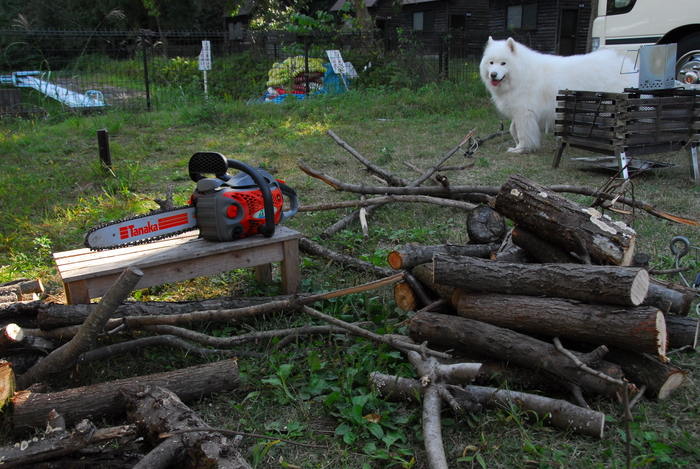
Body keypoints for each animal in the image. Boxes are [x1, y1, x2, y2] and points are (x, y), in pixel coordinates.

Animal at [478, 37, 636, 154]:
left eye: (503, 63)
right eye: (491, 63)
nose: (493, 74)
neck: (521, 73)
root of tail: (627, 64)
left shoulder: (524, 112)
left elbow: (523, 133)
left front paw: (521, 149)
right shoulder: (520, 111)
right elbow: (513, 129)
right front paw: (518, 144)